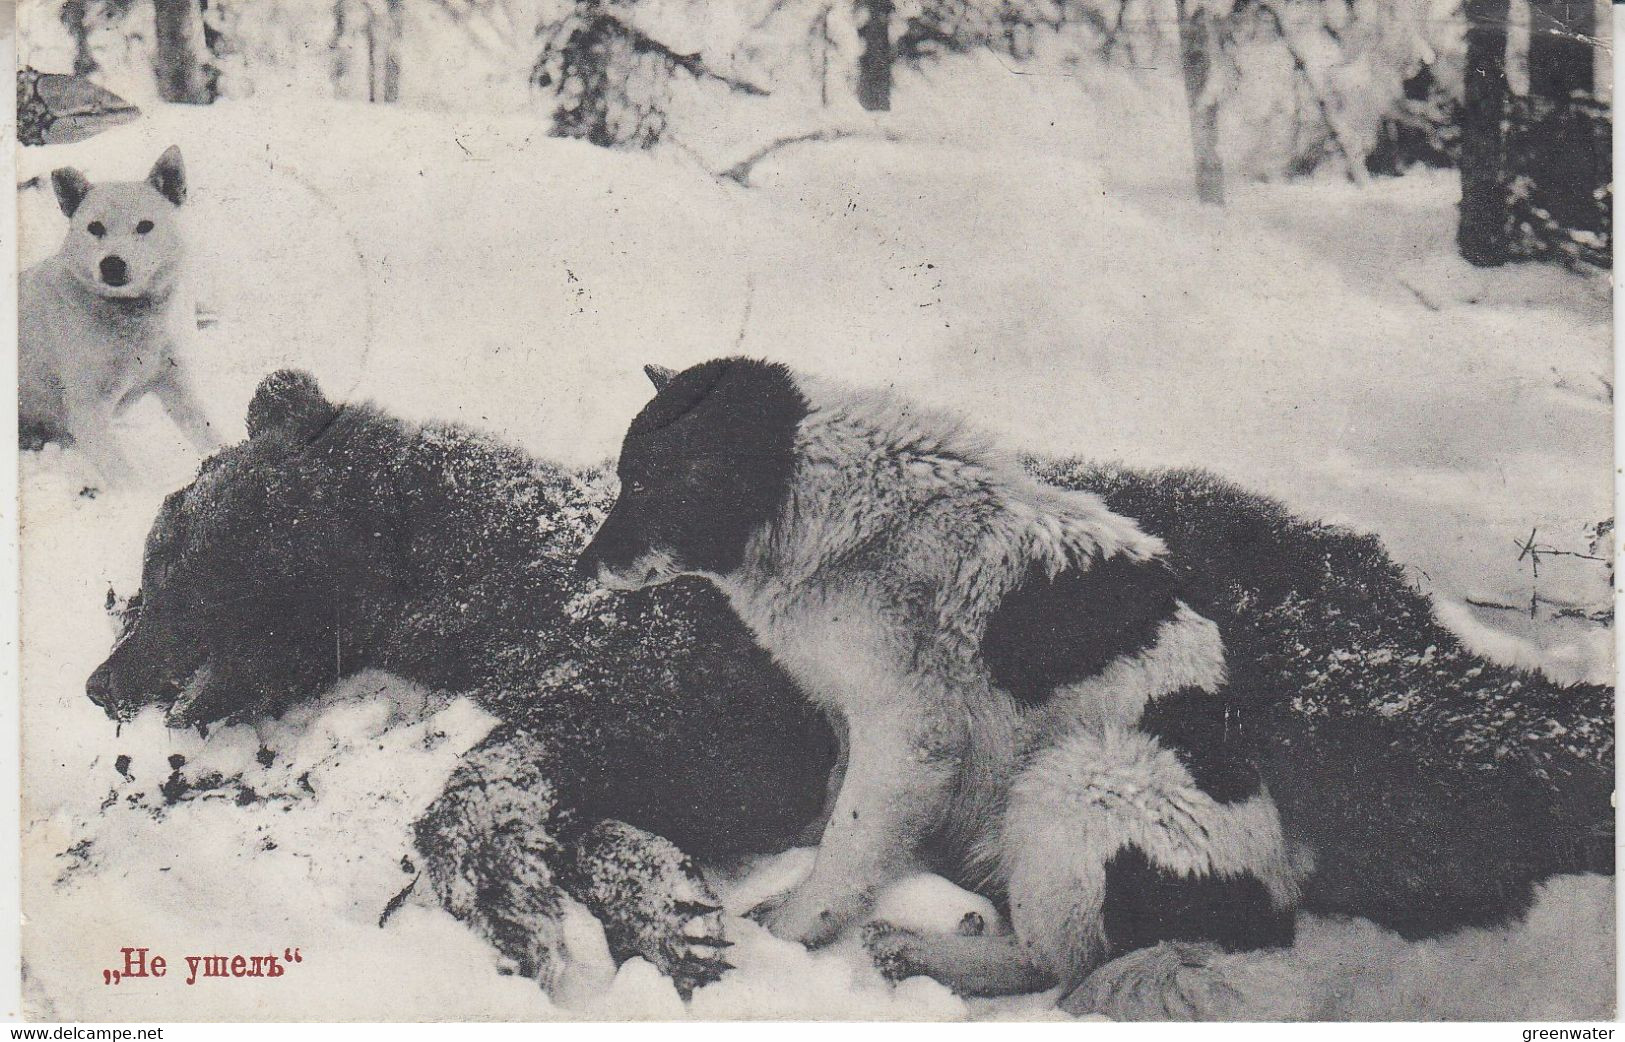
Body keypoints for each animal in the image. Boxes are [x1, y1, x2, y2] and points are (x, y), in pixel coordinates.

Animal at [85, 370, 851, 994]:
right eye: (156, 563)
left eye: (183, 574)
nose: (101, 684)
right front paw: (665, 907)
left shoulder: (683, 678)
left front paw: (515, 913)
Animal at [581, 357, 1612, 1014]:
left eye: (647, 485)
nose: (587, 568)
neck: (833, 513)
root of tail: (1251, 926)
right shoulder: (852, 722)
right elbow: (835, 815)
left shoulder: (907, 734)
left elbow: (845, 852)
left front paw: (788, 932)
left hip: (1079, 777)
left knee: (1058, 965)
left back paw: (925, 953)